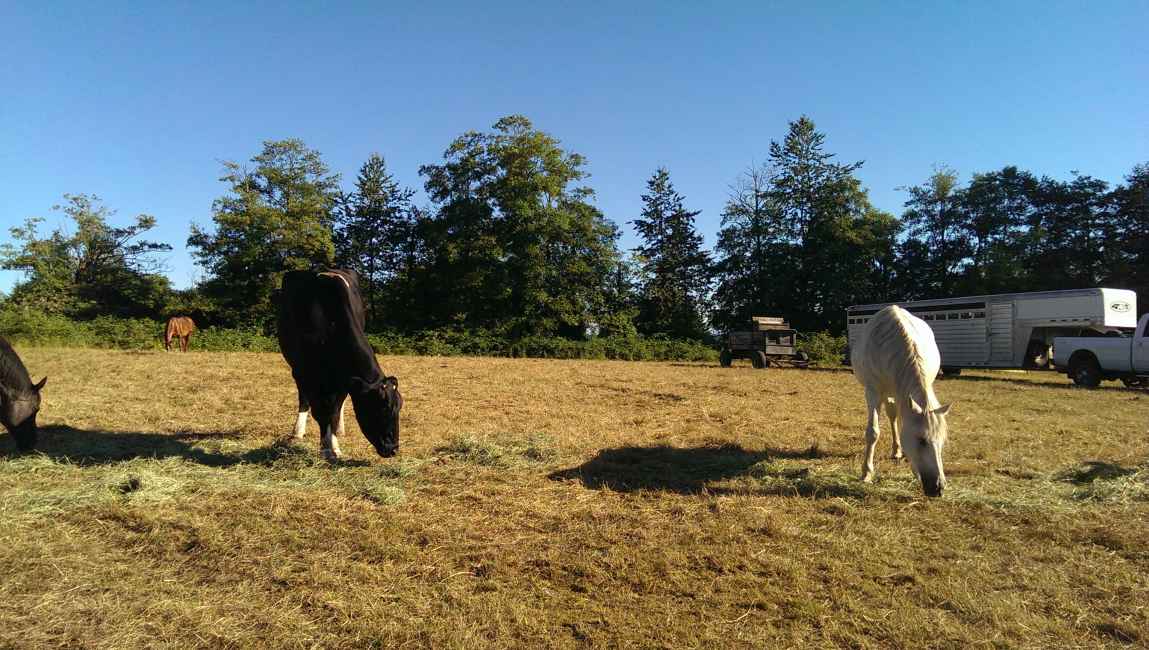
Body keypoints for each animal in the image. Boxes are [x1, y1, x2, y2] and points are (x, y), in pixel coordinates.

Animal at [277, 269, 402, 460]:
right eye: (381, 408)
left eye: (399, 408)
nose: (393, 449)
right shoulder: (304, 373)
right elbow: (319, 411)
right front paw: (326, 448)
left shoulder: (345, 379)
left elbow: (334, 412)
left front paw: (334, 446)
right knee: (304, 400)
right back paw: (298, 432)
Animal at [852, 305, 953, 497]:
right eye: (921, 440)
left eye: (942, 441)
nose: (938, 488)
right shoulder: (873, 392)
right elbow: (873, 432)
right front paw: (867, 473)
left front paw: (913, 469)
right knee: (892, 417)